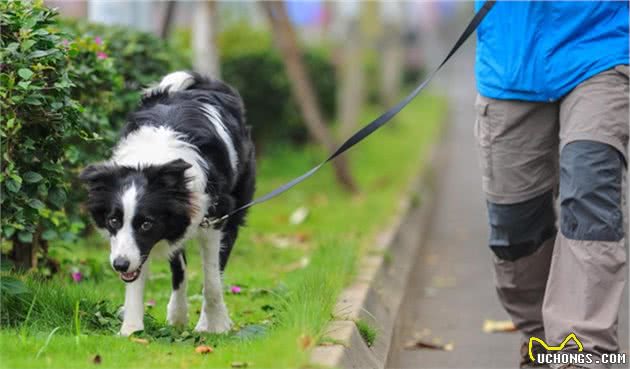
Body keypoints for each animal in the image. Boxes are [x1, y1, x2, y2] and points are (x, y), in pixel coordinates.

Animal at [79, 70, 256, 334]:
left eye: (146, 224)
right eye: (113, 220)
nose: (119, 265)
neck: (153, 159)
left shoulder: (214, 218)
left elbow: (212, 280)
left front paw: (215, 325)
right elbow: (141, 274)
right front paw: (131, 330)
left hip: (234, 208)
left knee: (216, 268)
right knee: (179, 268)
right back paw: (177, 315)